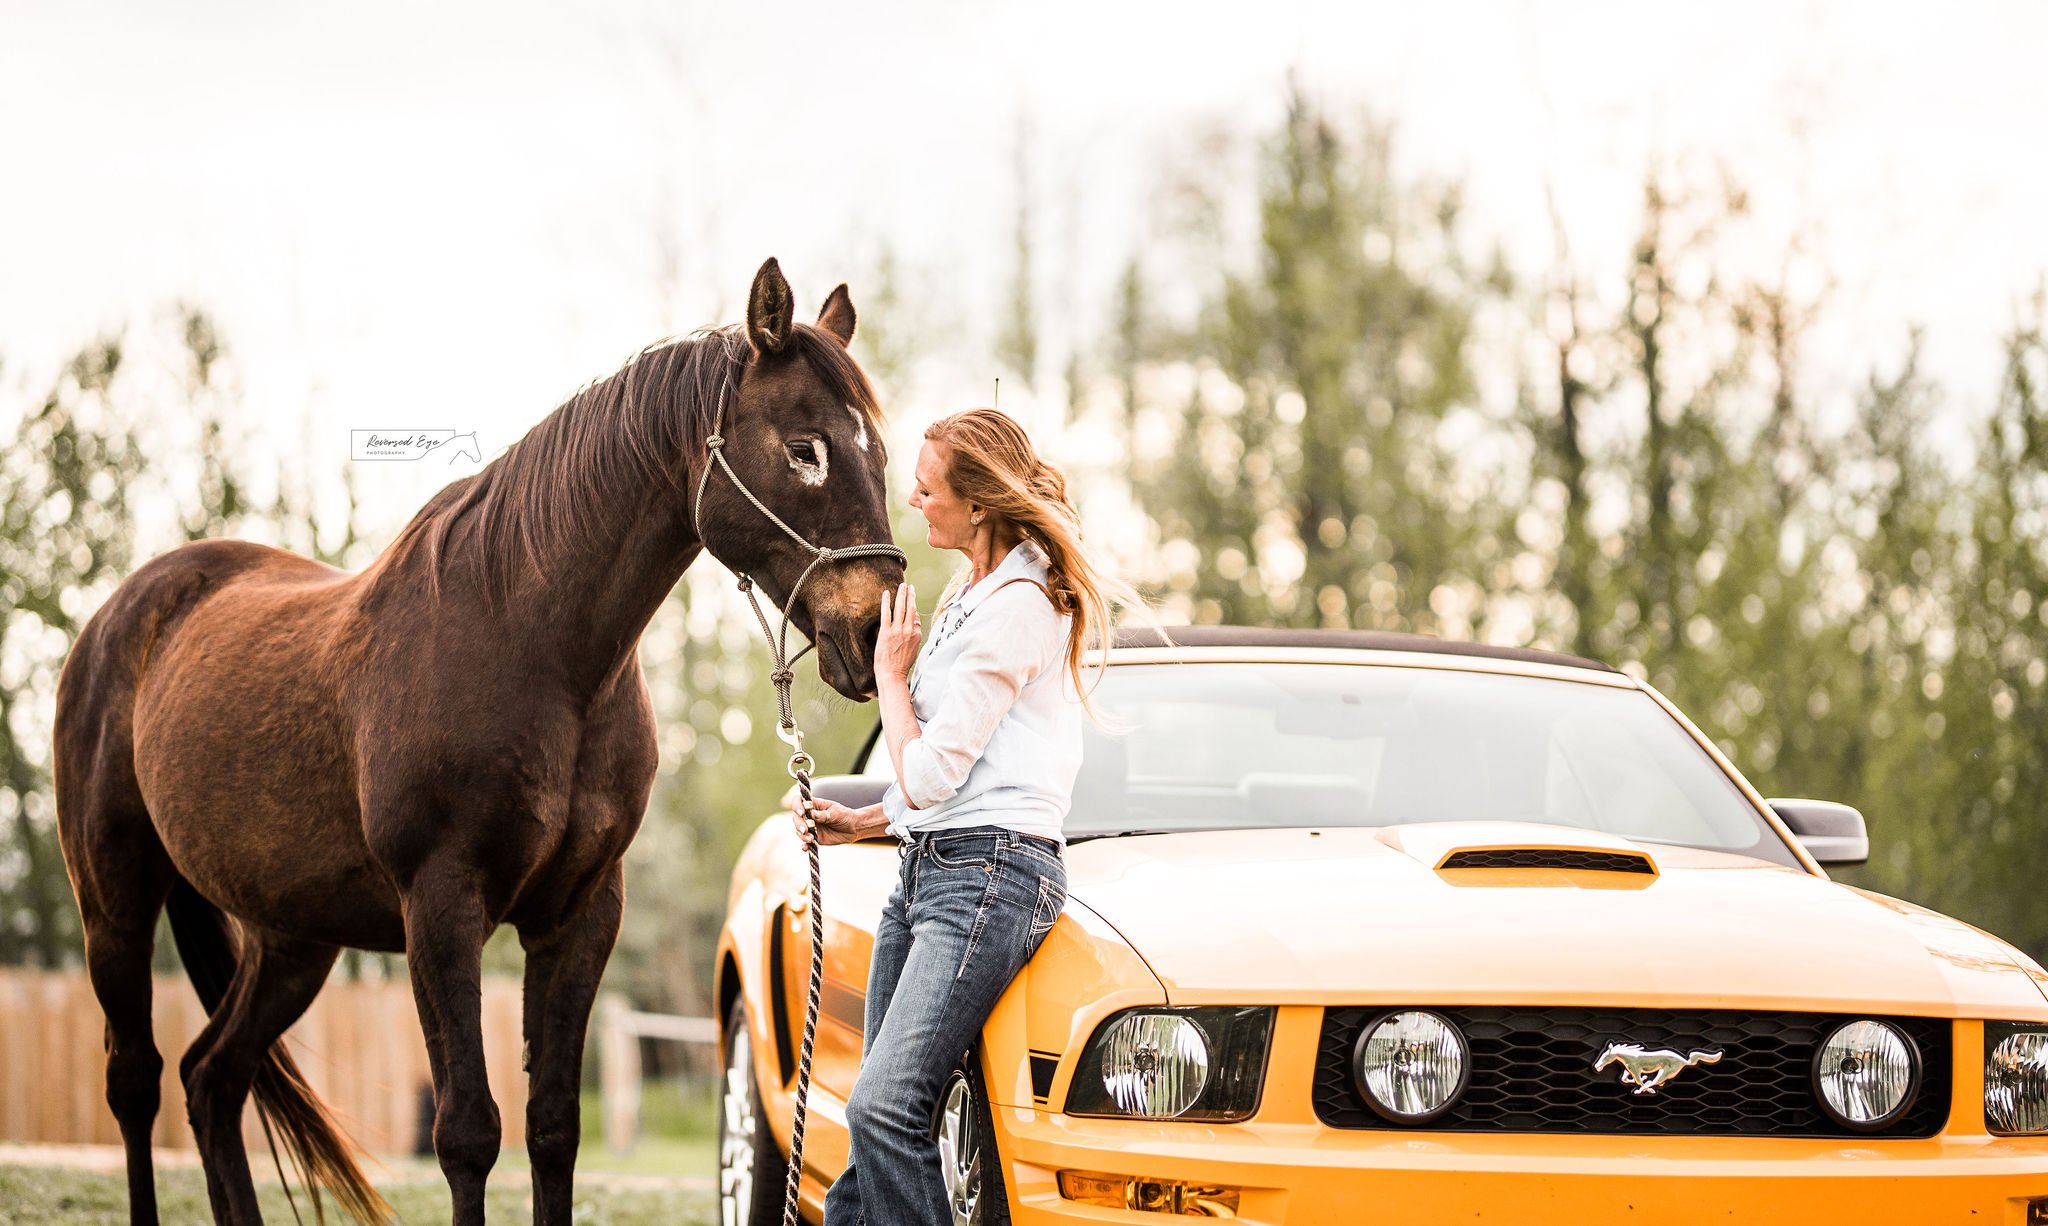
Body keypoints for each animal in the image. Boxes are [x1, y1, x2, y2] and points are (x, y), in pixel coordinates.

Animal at [46, 256, 897, 1219]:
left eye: (878, 450)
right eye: (805, 448)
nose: (873, 629)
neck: (532, 648)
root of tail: (124, 611)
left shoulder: (580, 914)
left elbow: (552, 1126)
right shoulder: (441, 904)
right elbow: (467, 1132)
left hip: (292, 941)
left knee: (211, 1079)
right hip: (113, 903)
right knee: (137, 1079)